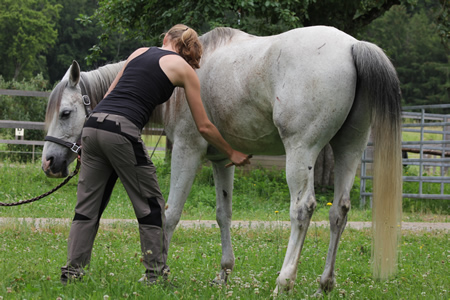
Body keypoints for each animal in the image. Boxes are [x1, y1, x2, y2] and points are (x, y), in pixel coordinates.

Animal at [42, 26, 402, 296]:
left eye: (66, 113)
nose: (49, 162)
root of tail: (352, 46)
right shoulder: (221, 161)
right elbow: (223, 215)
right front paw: (224, 274)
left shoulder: (187, 151)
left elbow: (169, 214)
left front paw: (157, 273)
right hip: (348, 148)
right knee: (338, 211)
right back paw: (325, 283)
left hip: (302, 152)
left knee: (303, 209)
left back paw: (284, 282)